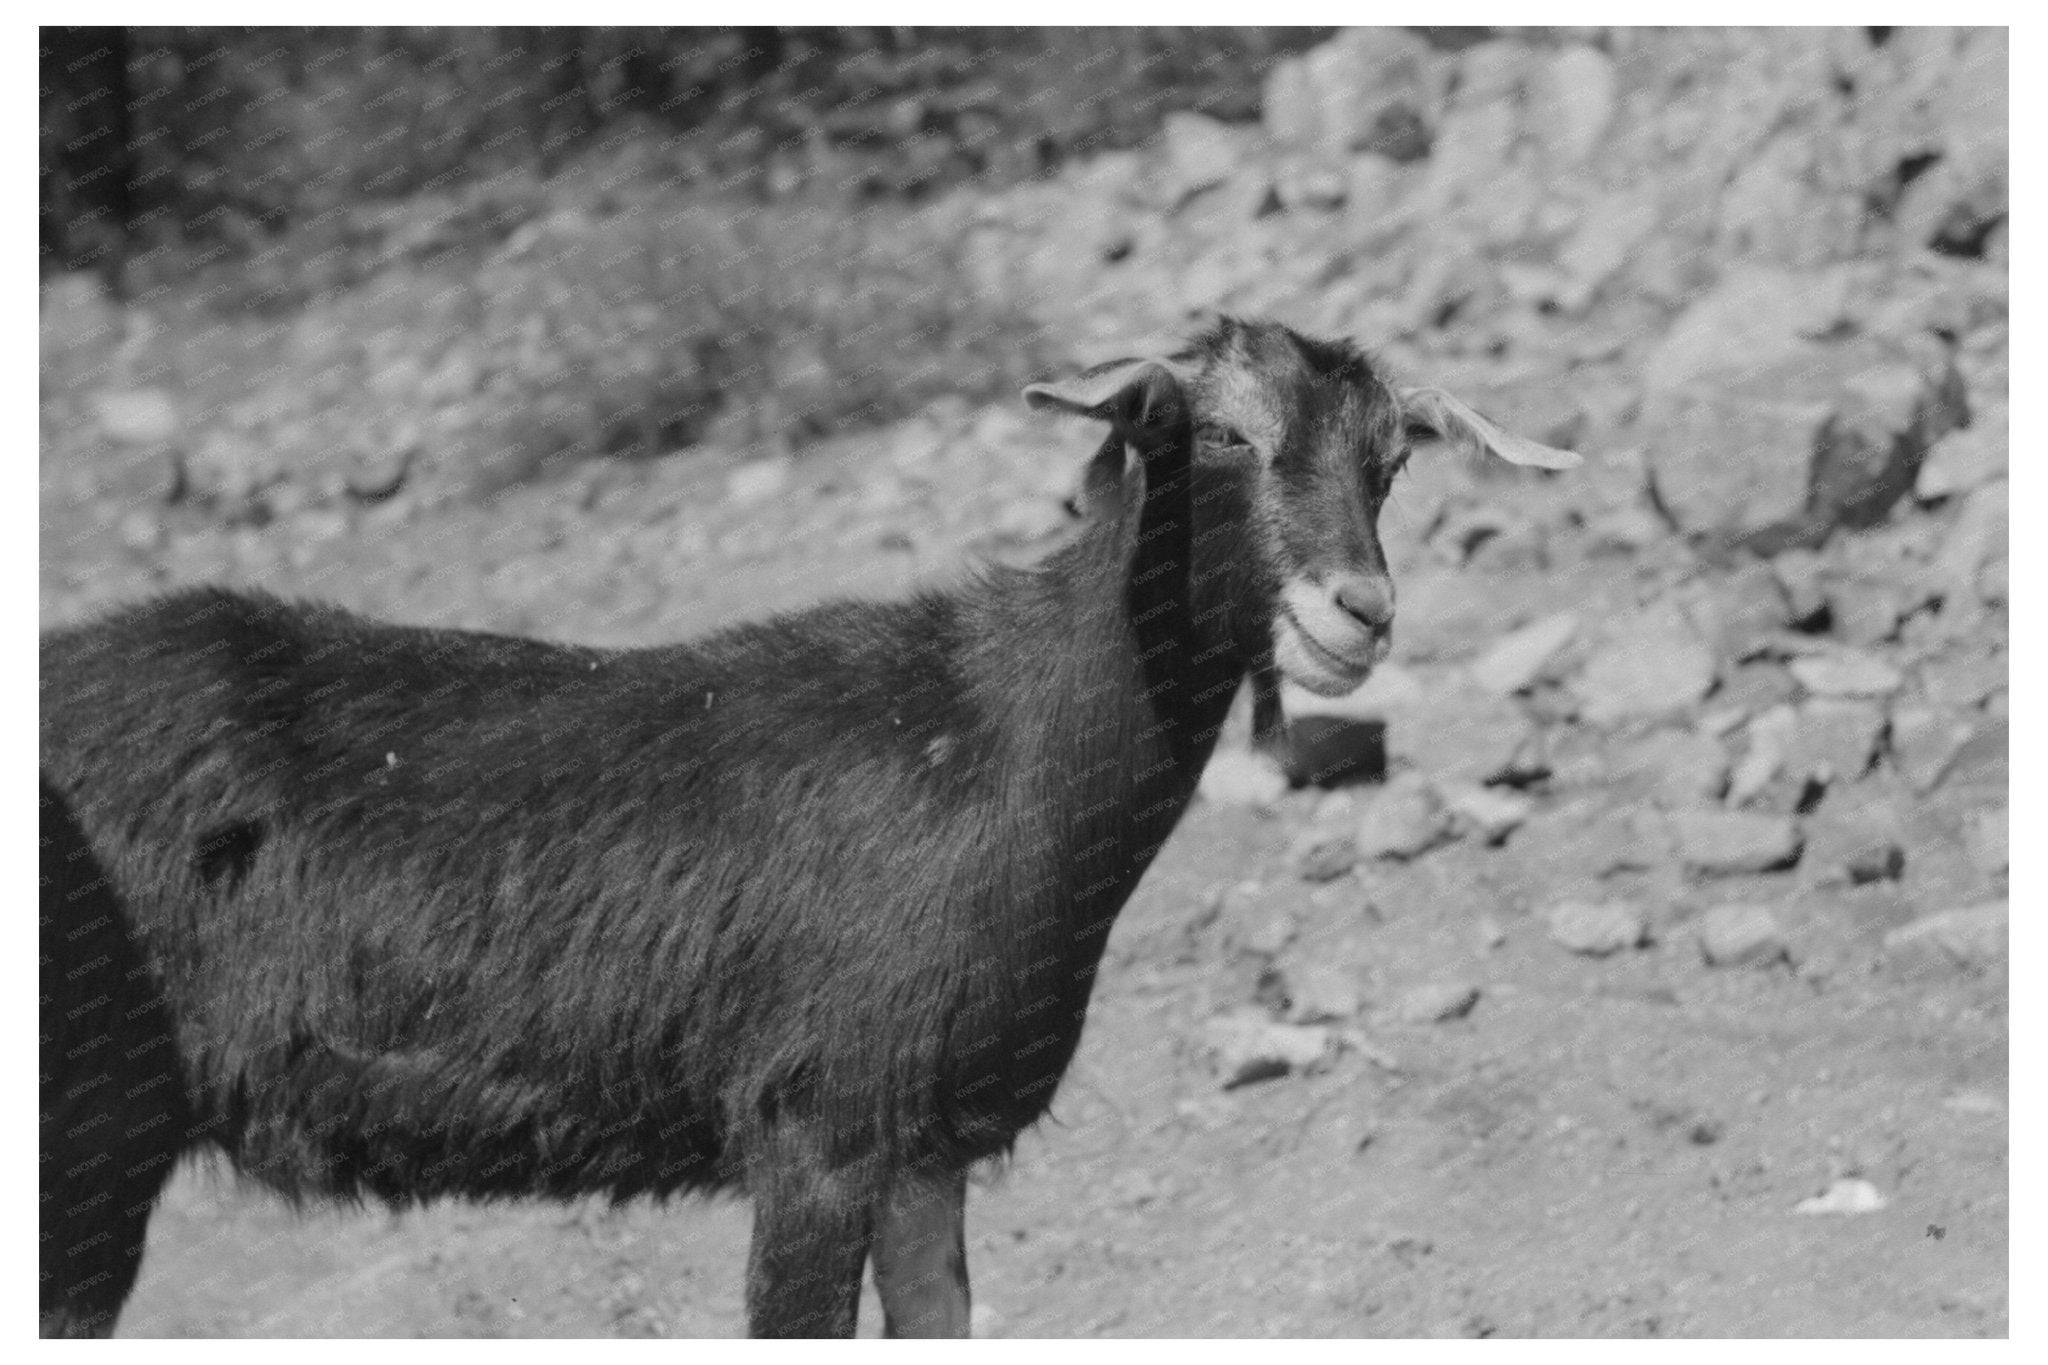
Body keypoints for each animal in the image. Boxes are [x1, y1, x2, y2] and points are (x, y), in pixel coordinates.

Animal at [39, 316, 1577, 1338]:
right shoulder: (814, 1130)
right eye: (1216, 434)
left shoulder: (923, 1147)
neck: (995, 740)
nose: (1356, 613)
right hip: (85, 1140)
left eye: (1390, 462)